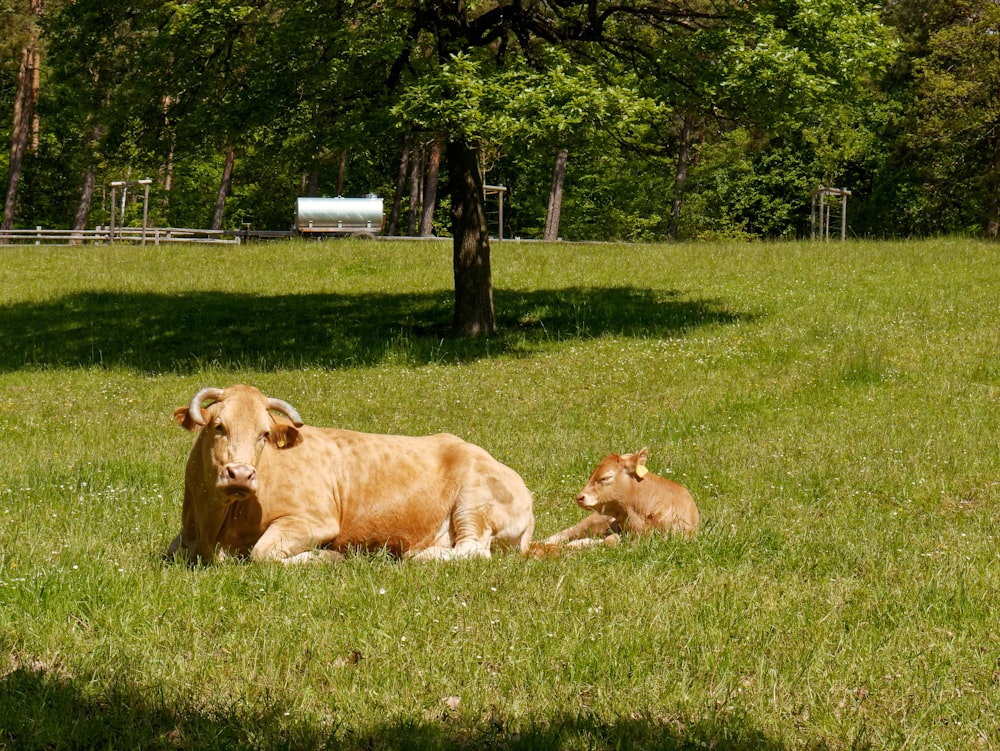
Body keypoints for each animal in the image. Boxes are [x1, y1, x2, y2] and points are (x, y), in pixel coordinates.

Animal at [168, 388, 536, 564]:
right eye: (218, 426)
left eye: (264, 433)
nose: (241, 474)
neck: (212, 530)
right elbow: (173, 550)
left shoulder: (315, 521)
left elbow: (262, 554)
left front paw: (326, 557)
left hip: (473, 504)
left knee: (474, 550)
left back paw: (415, 555)